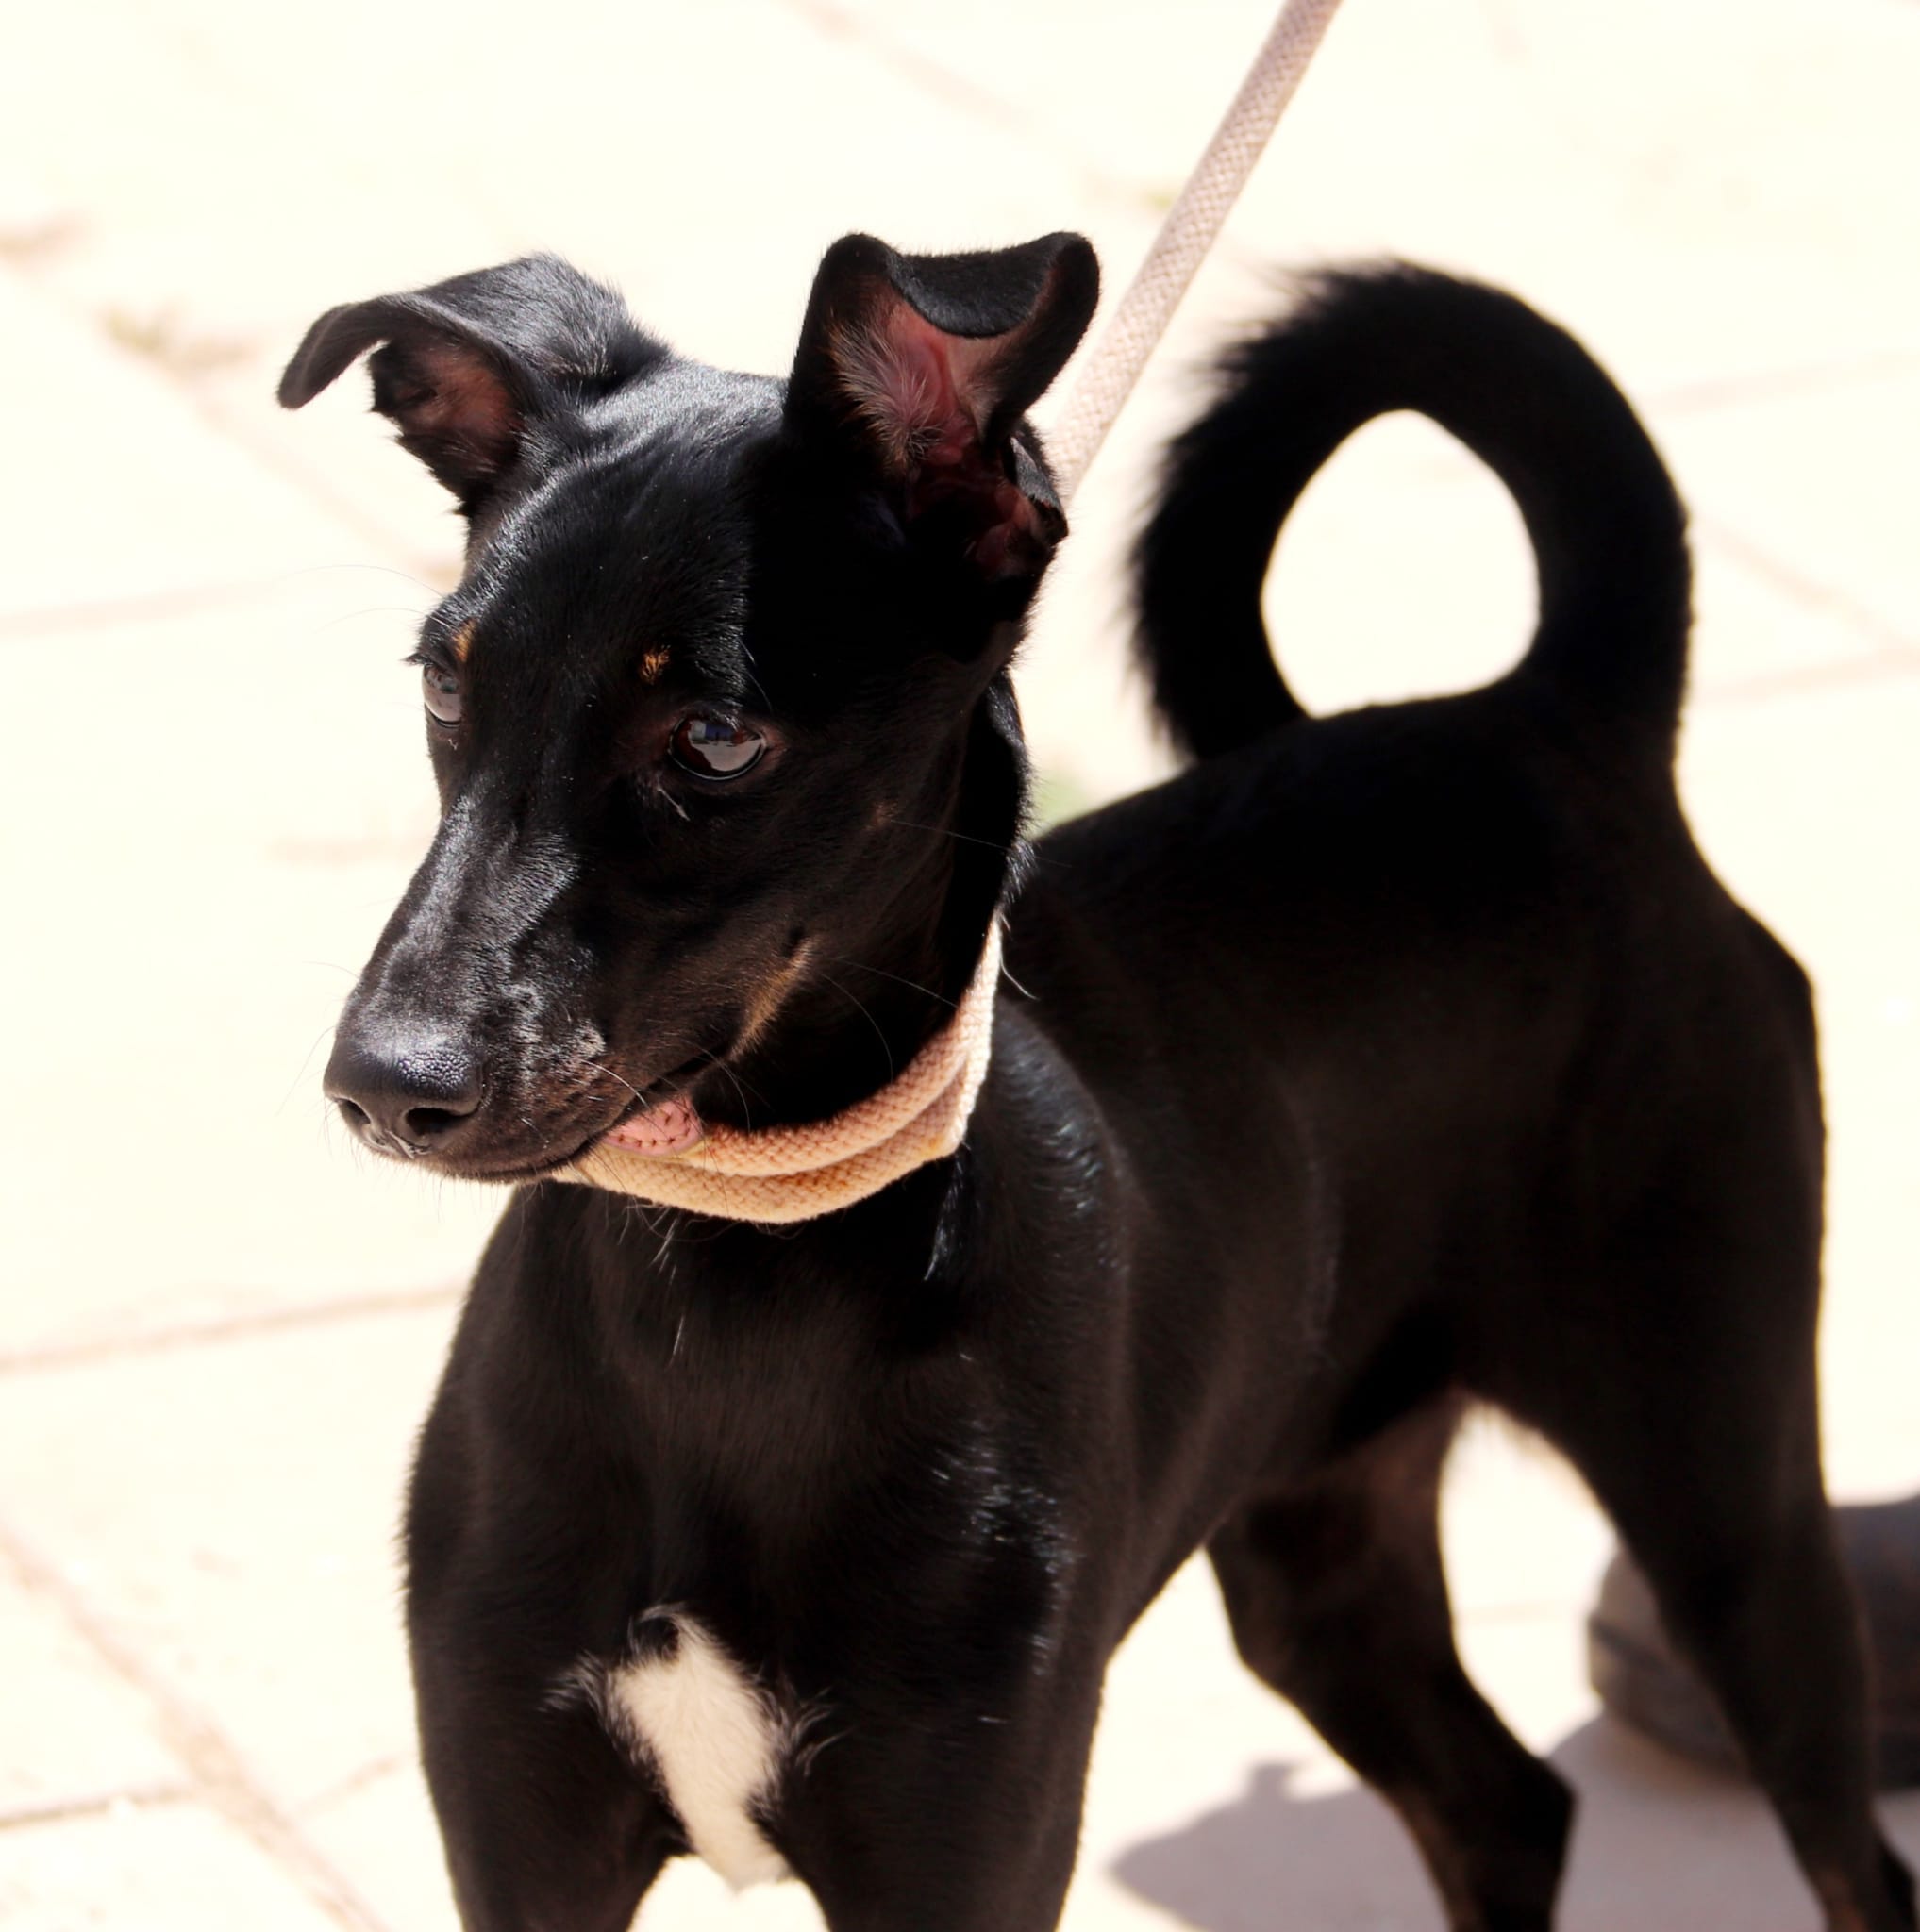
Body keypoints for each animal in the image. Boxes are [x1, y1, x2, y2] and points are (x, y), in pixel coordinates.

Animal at [279, 235, 1916, 1931]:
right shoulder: (520, 1836)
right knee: (1508, 1805)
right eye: (446, 683)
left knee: (1844, 1848)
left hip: (1727, 1500)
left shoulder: (964, 1851)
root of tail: (1550, 722)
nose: (384, 1081)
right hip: (1317, 1543)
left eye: (716, 737)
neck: (723, 1300)